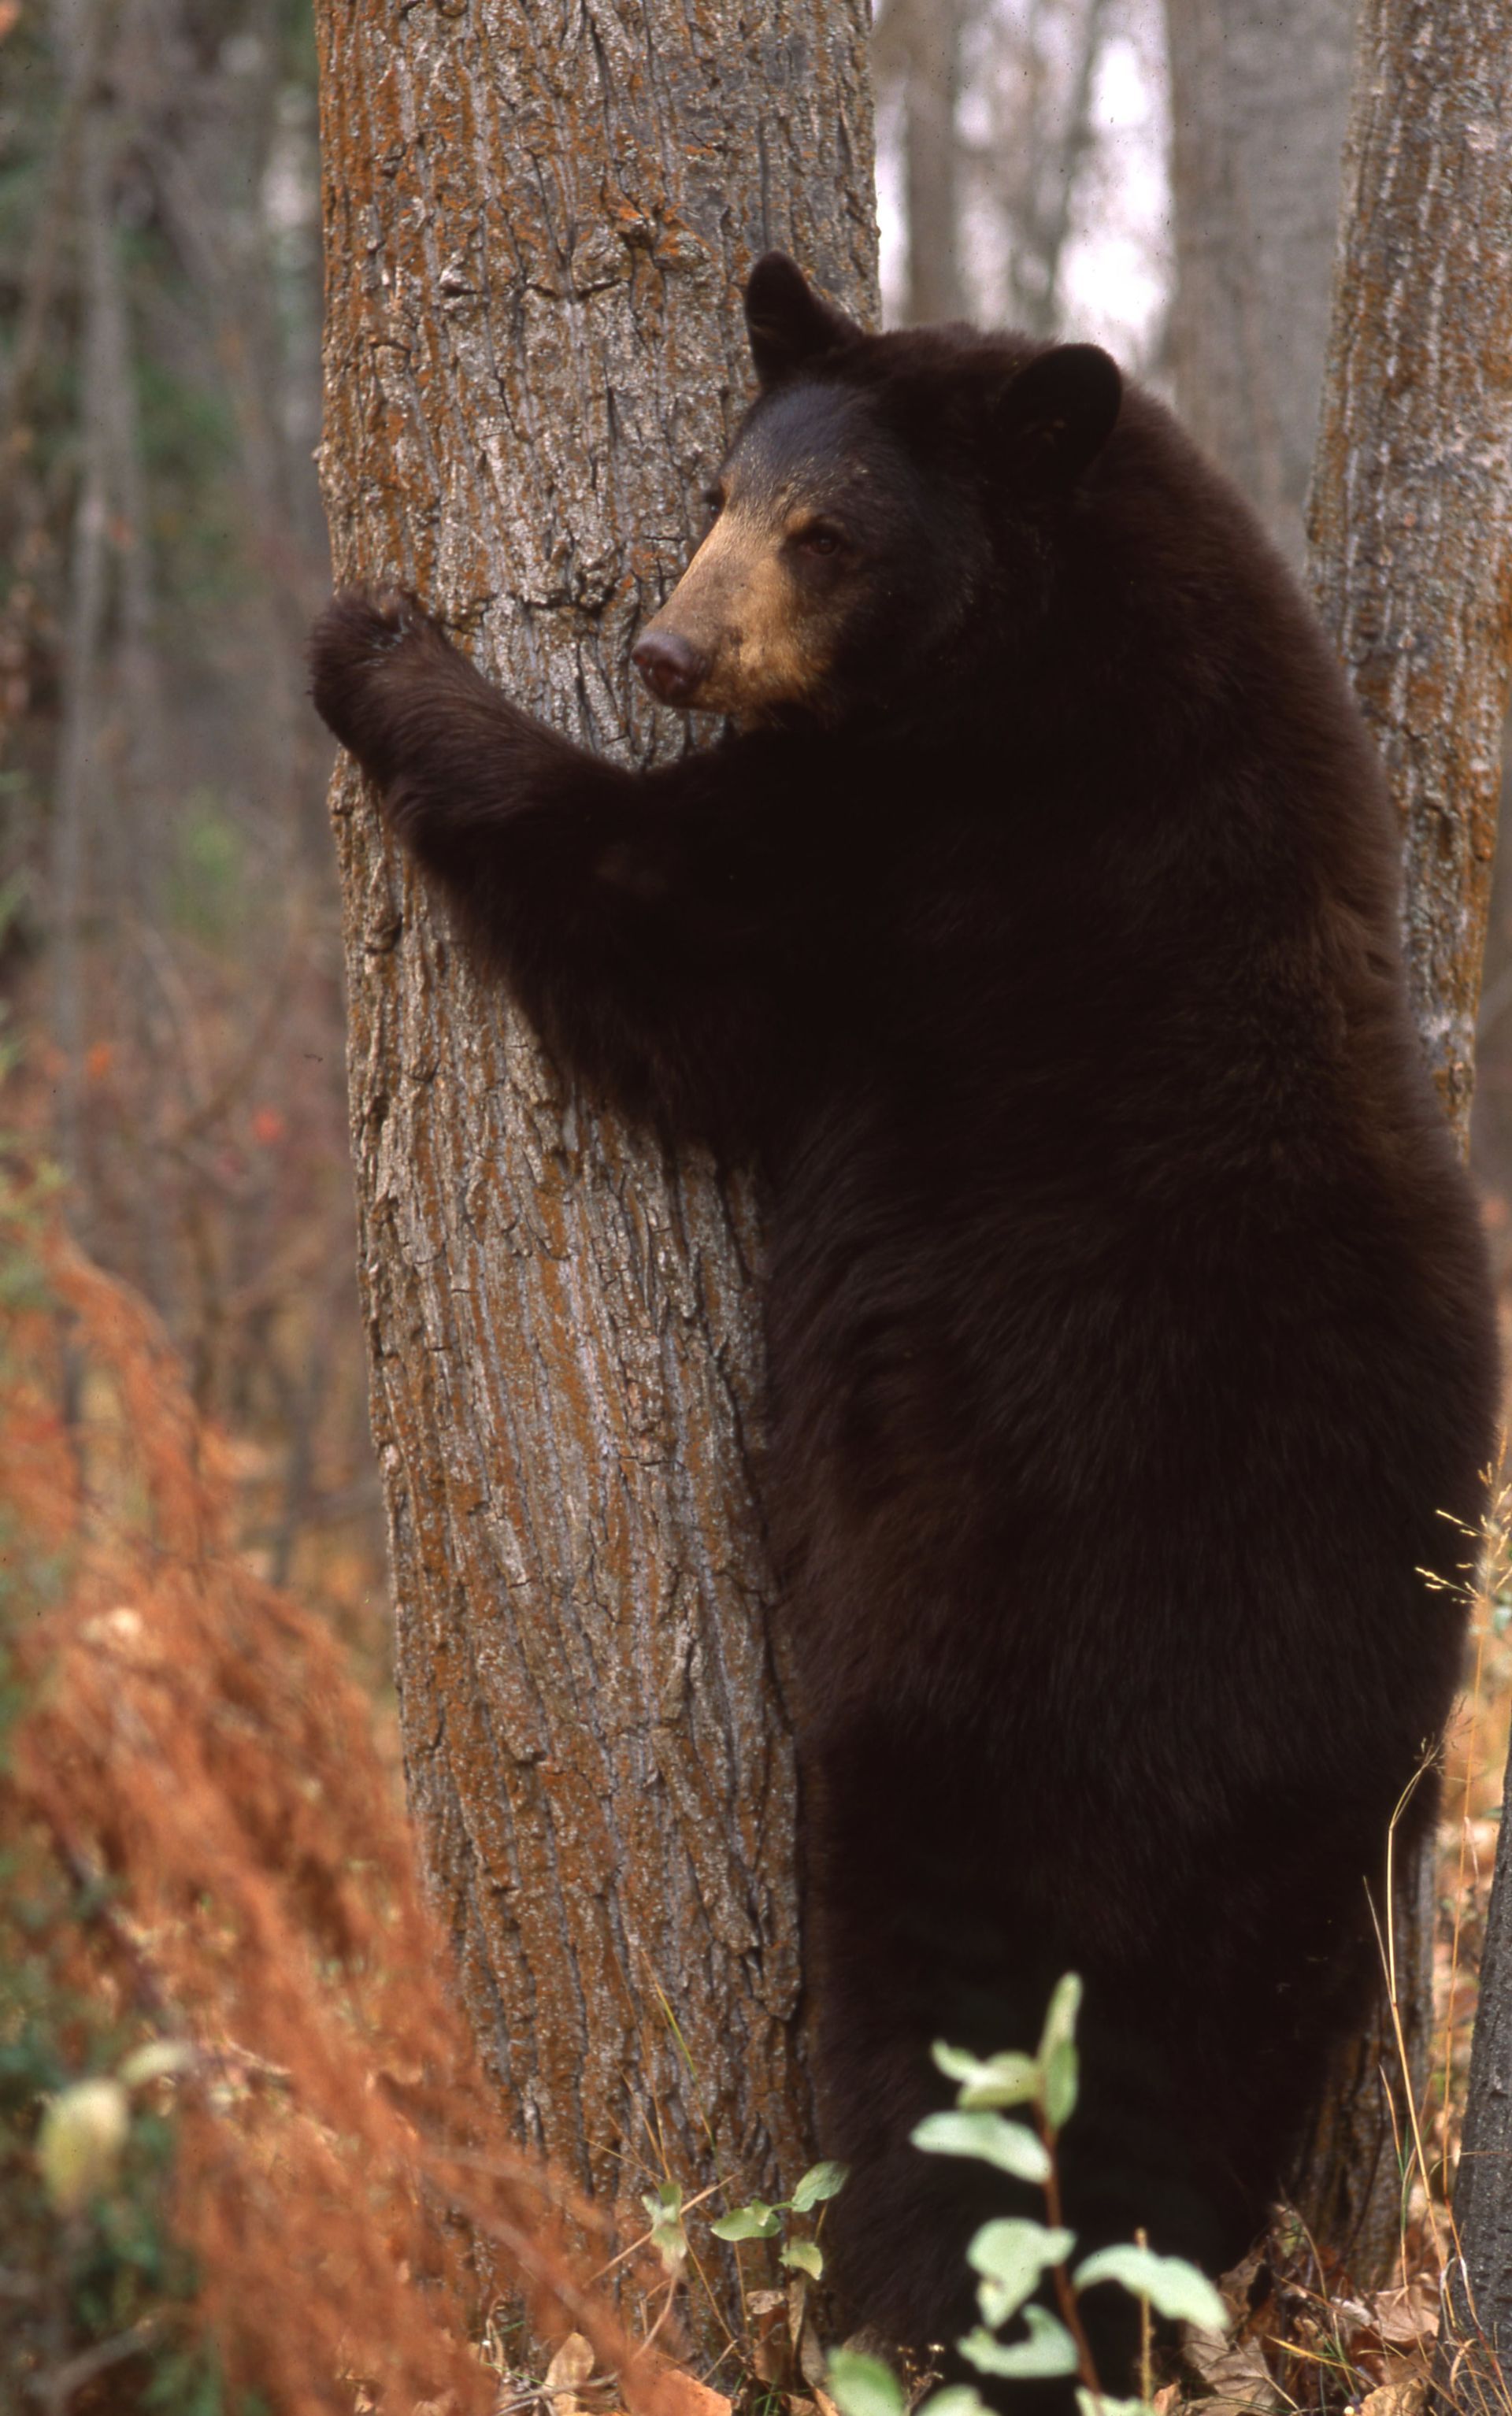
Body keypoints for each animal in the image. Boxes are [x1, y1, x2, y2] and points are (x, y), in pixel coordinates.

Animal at [309, 253, 1498, 2401]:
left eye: (828, 534)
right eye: (717, 484)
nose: (669, 648)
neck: (1041, 647)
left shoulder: (915, 857)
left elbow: (657, 924)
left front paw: (378, 639)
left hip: (990, 1708)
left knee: (958, 2065)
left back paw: (936, 2313)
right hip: (1344, 1835)